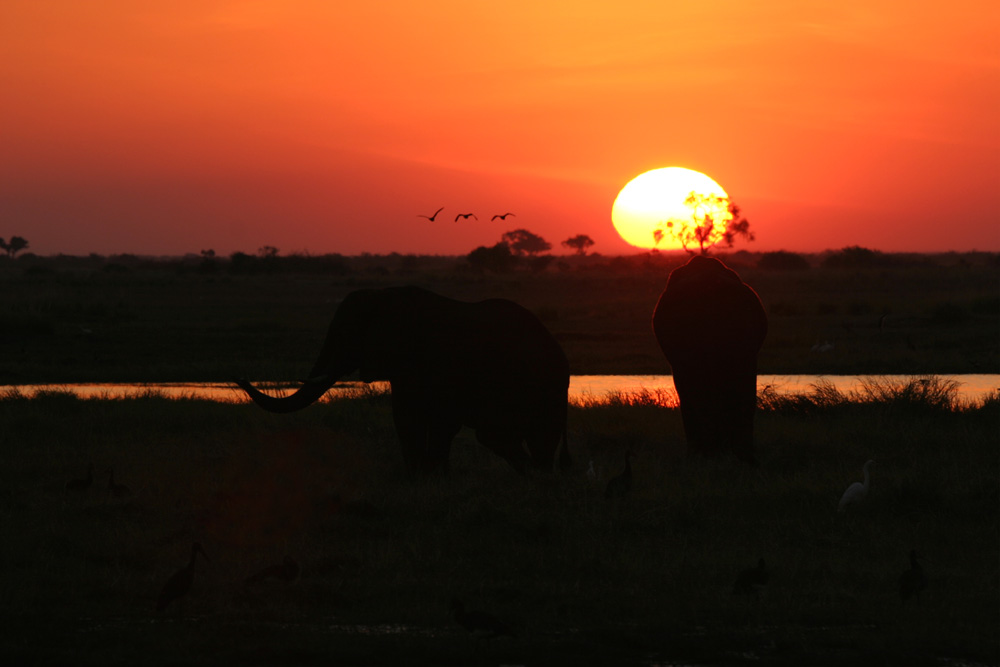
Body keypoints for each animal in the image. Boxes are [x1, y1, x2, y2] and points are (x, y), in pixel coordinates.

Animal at [233, 286, 572, 474]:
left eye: (346, 334)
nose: (238, 376)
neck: (384, 297)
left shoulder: (428, 360)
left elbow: (425, 417)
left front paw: (426, 476)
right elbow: (413, 416)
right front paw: (429, 476)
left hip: (540, 385)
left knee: (508, 434)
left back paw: (536, 474)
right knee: (506, 436)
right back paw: (532, 472)